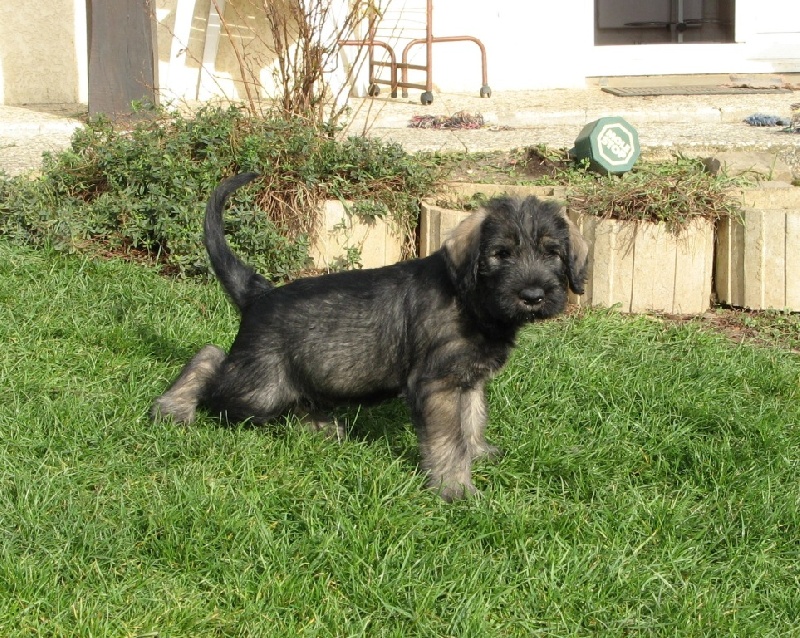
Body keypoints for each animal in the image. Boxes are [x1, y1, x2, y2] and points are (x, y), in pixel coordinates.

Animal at [153, 172, 588, 502]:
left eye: (553, 252)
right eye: (500, 254)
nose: (533, 296)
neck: (471, 297)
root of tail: (257, 294)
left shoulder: (468, 379)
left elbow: (473, 418)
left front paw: (480, 453)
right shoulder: (438, 383)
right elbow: (449, 439)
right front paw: (456, 490)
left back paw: (321, 427)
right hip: (259, 390)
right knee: (211, 358)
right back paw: (172, 407)